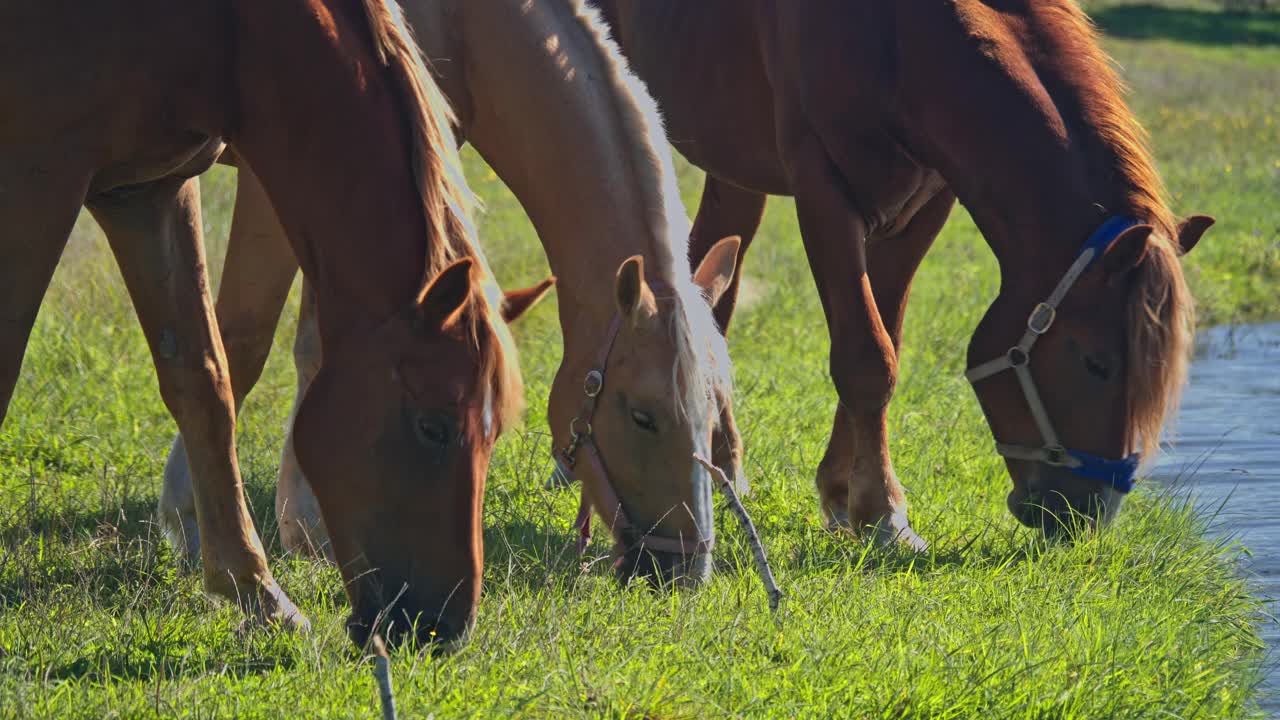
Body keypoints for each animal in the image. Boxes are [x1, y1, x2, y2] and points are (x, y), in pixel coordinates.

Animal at [0, 0, 537, 645]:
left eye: (494, 432)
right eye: (434, 427)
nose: (445, 627)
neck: (229, 31)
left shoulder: (148, 192)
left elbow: (205, 385)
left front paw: (256, 591)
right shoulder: (35, 181)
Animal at [160, 0, 742, 584]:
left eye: (714, 415)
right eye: (644, 416)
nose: (688, 570)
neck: (461, 21)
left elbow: (317, 350)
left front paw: (305, 527)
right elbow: (241, 344)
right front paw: (190, 520)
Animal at [593, 0, 1213, 538]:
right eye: (1096, 364)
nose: (1089, 513)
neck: (898, 34)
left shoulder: (923, 204)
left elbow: (884, 338)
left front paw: (844, 492)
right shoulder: (824, 190)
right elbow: (867, 359)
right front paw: (884, 513)